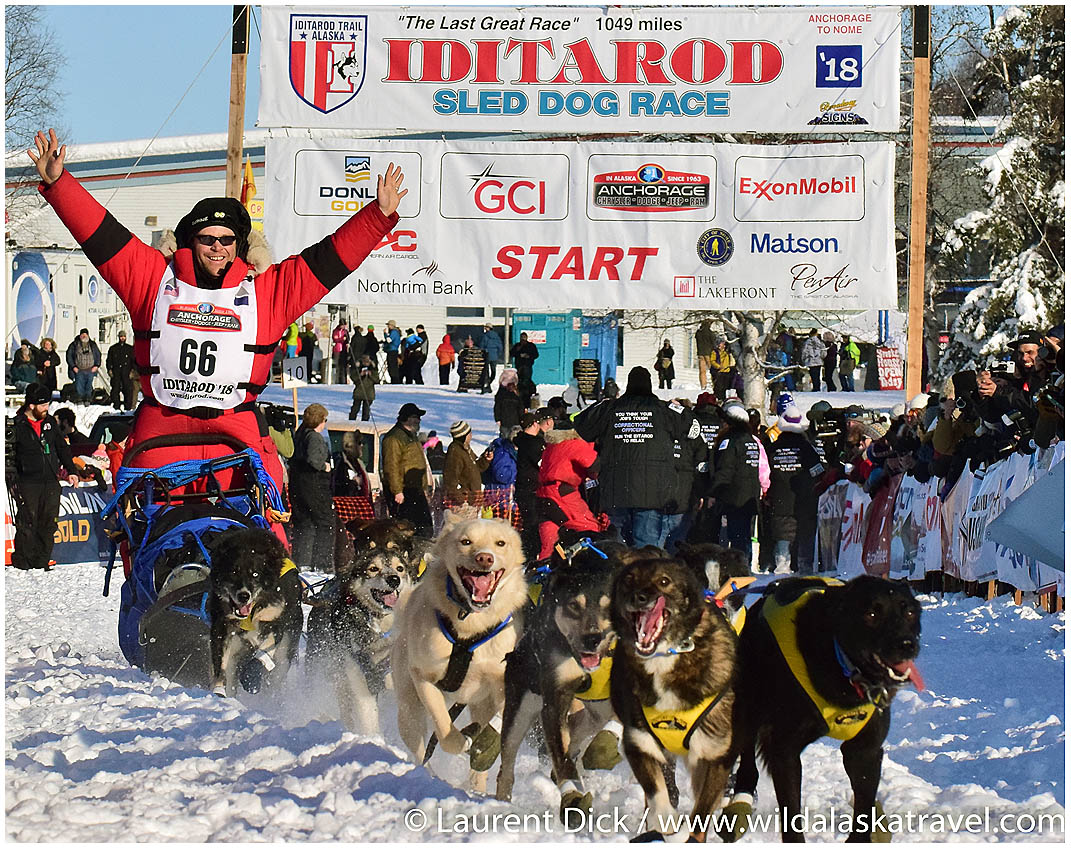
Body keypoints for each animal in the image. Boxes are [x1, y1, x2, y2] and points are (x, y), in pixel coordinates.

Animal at [206, 526, 304, 698]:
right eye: (233, 572)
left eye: (255, 574)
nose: (244, 596)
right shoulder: (222, 625)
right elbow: (220, 662)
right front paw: (218, 691)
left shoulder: (274, 622)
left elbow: (264, 651)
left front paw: (251, 675)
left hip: (285, 653)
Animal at [728, 578, 921, 839]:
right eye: (871, 614)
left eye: (909, 612)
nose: (907, 644)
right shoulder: (784, 751)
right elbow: (791, 817)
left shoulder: (865, 750)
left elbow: (863, 808)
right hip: (749, 705)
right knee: (747, 759)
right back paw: (740, 801)